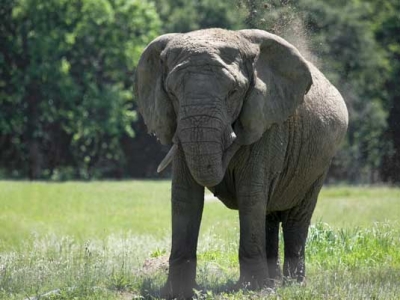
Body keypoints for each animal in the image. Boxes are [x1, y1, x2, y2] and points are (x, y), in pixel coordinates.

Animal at [134, 27, 346, 298]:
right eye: (171, 93)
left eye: (233, 92)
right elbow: (185, 196)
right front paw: (177, 292)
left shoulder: (265, 123)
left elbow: (249, 193)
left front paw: (252, 290)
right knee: (268, 216)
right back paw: (274, 282)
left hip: (318, 165)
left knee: (295, 217)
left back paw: (291, 285)